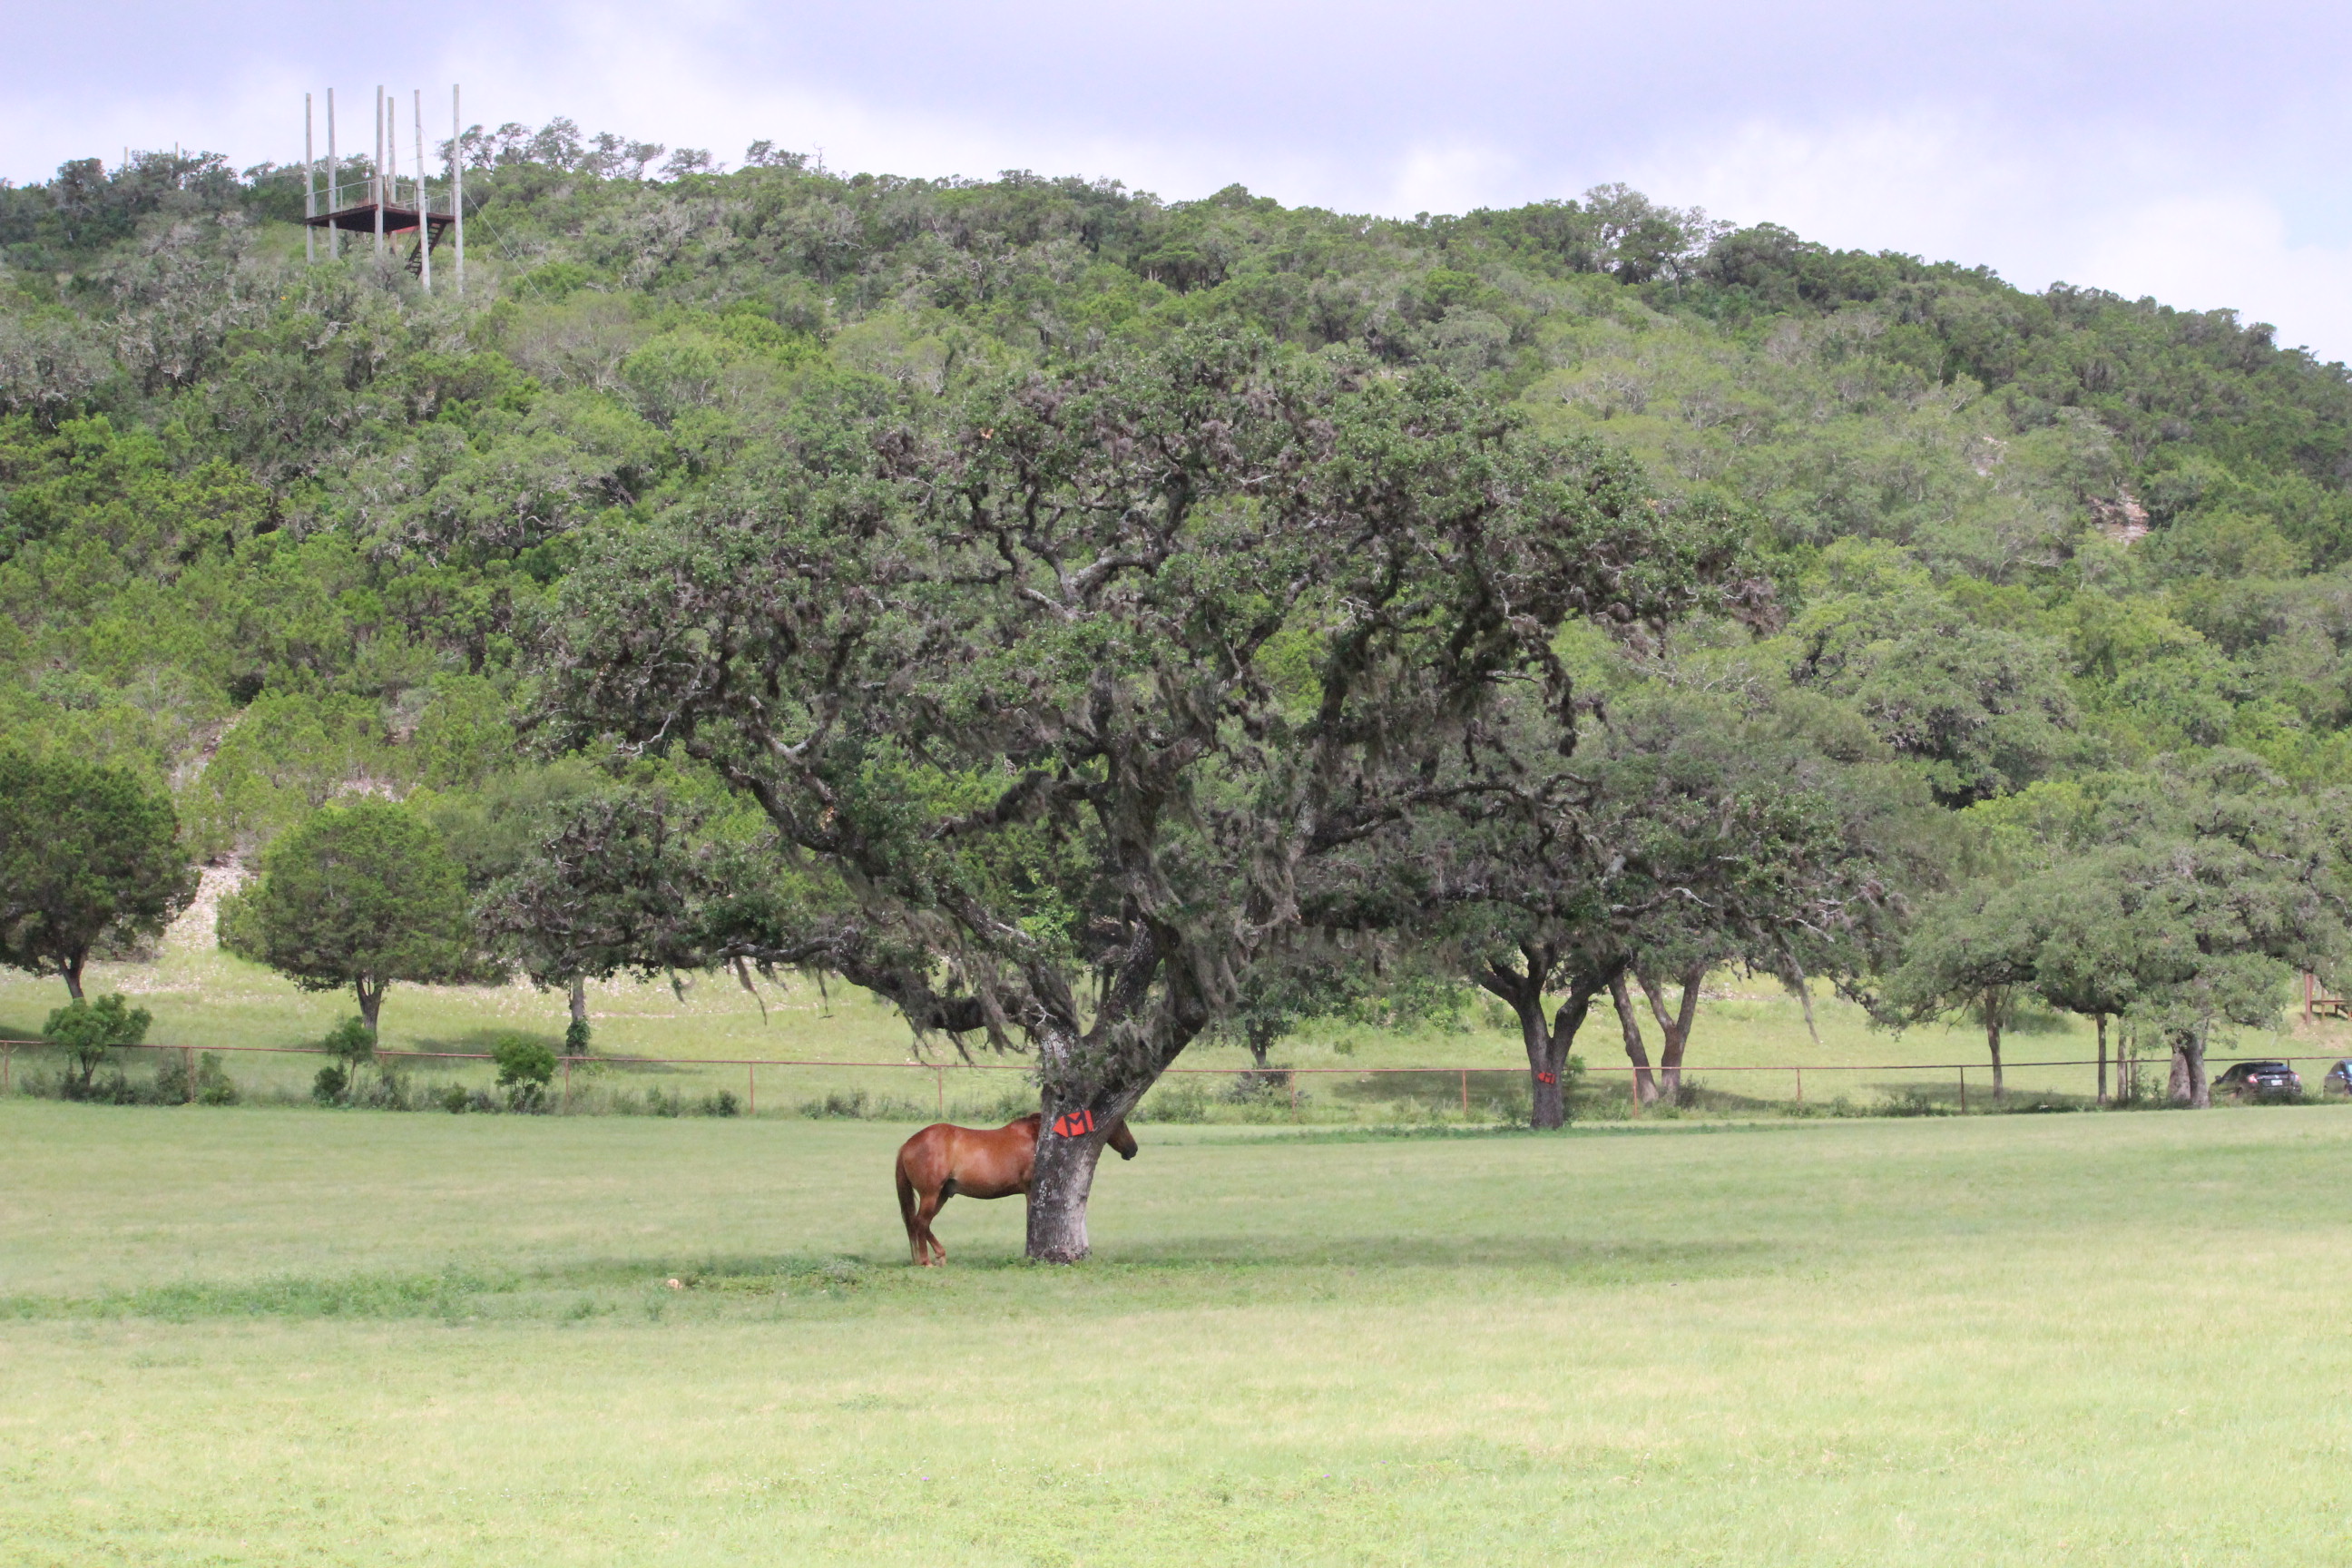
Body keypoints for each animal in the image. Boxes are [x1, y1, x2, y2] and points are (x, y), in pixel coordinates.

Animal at [894, 1112, 1138, 1266]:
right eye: (1120, 1122)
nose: (1133, 1149)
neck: (1037, 1139)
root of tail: (907, 1145)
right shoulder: (1031, 1191)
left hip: (942, 1195)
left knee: (922, 1224)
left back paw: (939, 1256)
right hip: (931, 1194)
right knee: (920, 1223)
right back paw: (926, 1261)